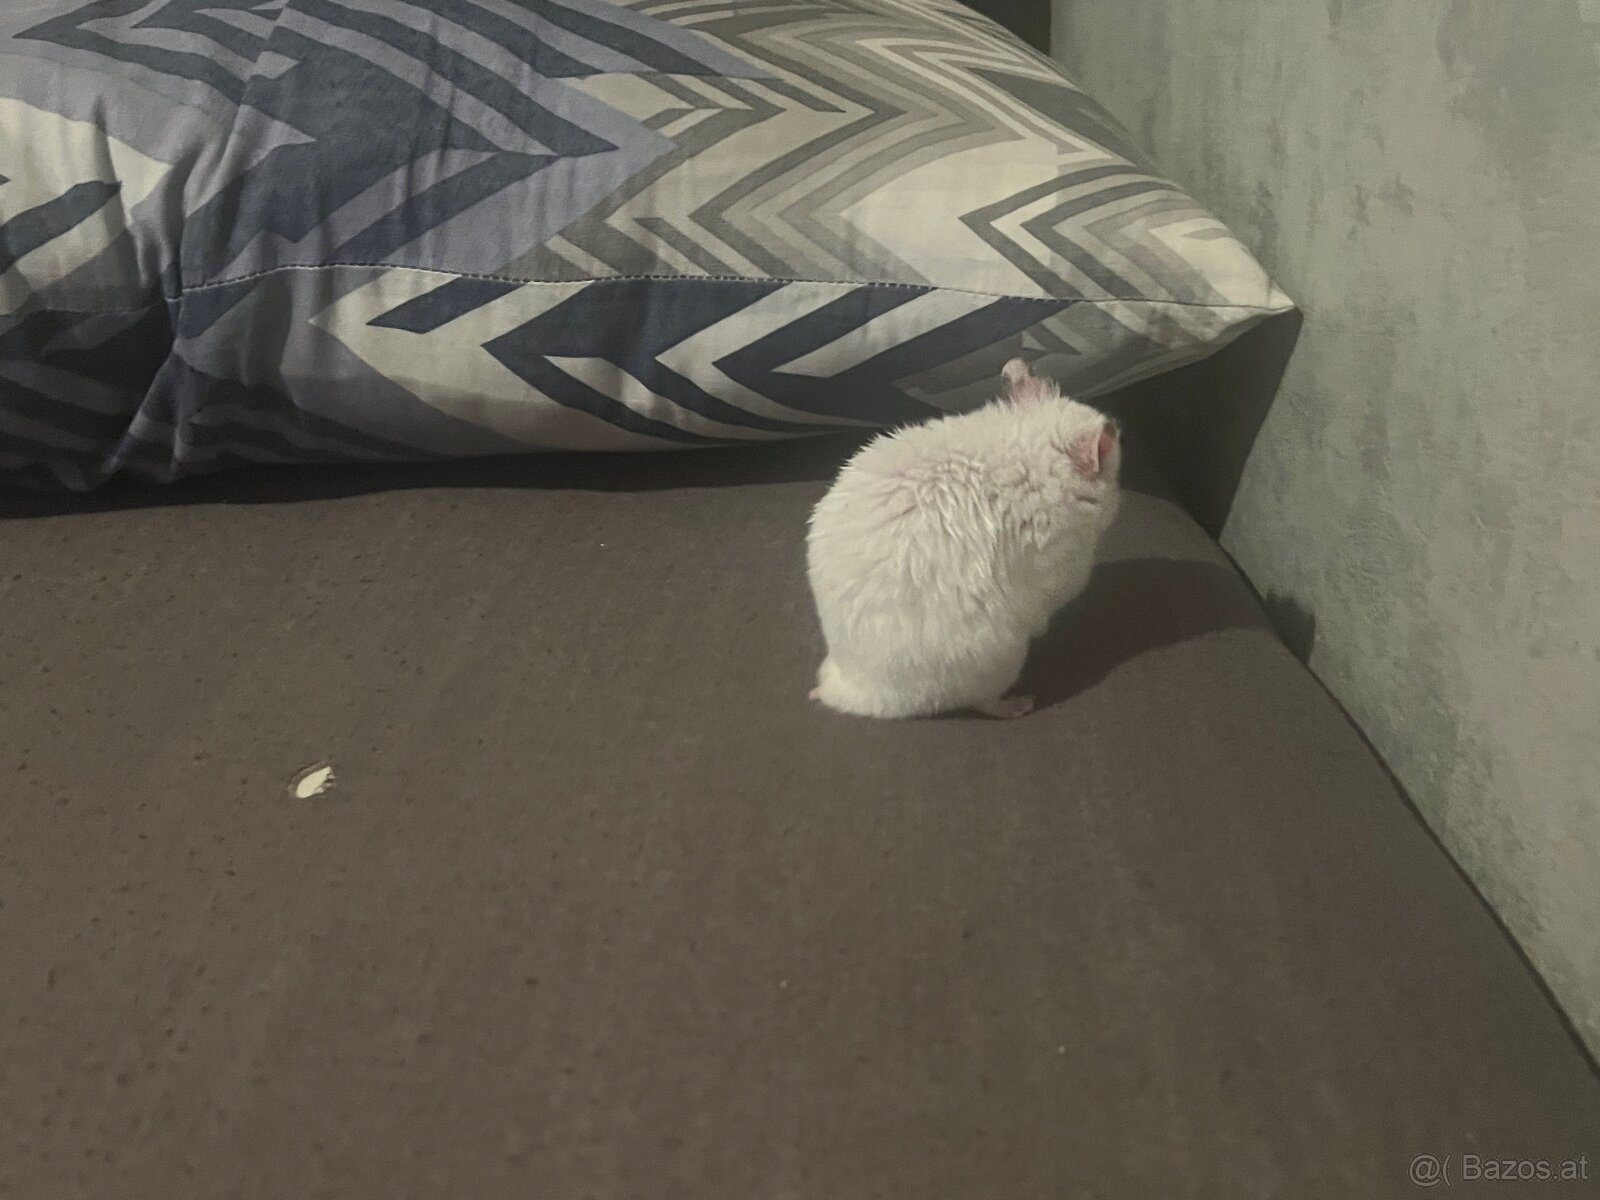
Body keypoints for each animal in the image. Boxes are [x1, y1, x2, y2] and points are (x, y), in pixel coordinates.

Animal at [805, 358, 1121, 720]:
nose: (1114, 424)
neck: (1032, 453)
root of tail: (854, 691)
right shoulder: (1063, 564)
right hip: (1001, 659)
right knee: (983, 703)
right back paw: (1021, 705)